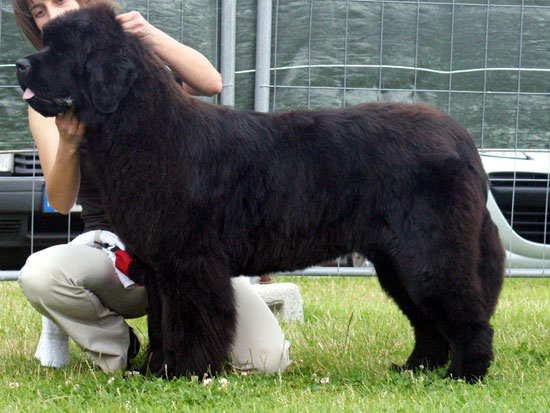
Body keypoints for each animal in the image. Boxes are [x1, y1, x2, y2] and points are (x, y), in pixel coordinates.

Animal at [17, 4, 506, 384]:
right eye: (46, 41)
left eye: (63, 50)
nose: (20, 65)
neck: (142, 129)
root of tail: (456, 135)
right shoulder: (160, 266)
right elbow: (162, 323)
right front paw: (158, 369)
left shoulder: (191, 262)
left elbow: (191, 321)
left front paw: (187, 371)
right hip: (395, 262)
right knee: (427, 322)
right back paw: (415, 368)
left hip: (428, 254)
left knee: (465, 315)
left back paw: (464, 374)